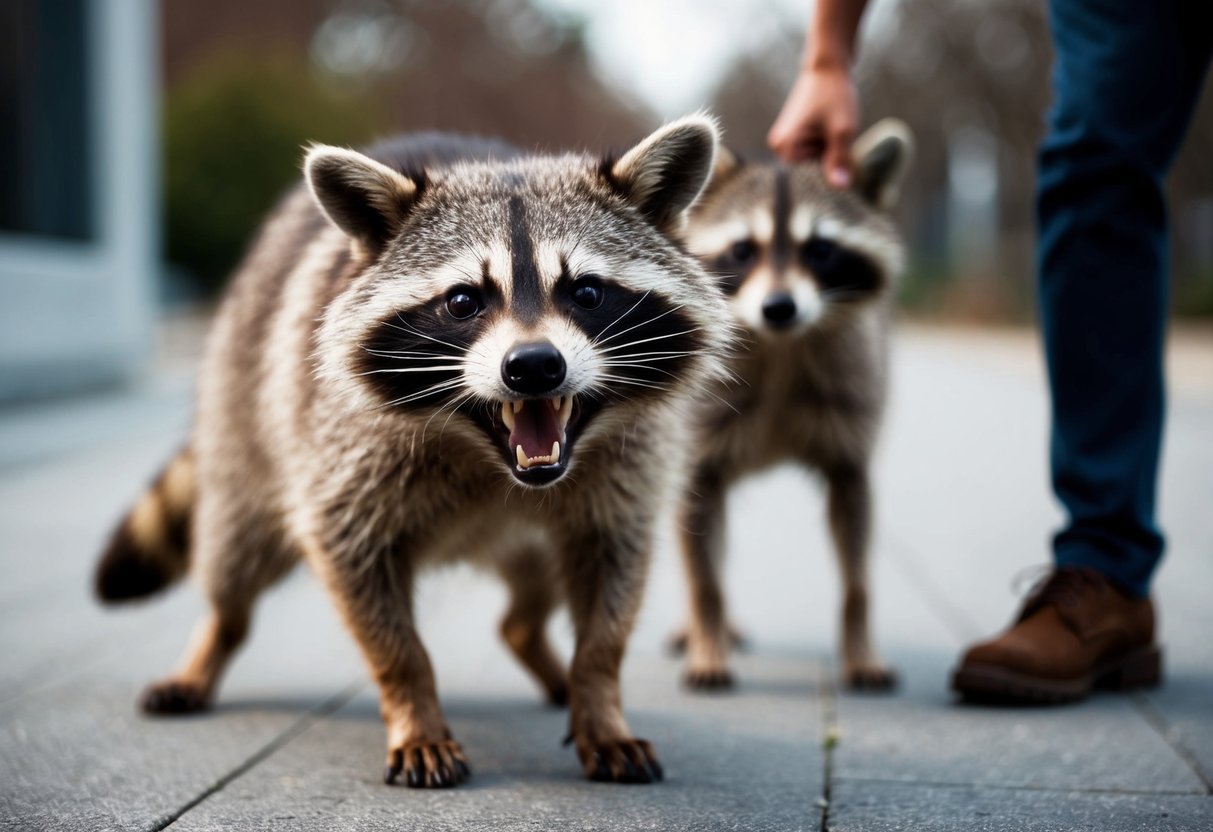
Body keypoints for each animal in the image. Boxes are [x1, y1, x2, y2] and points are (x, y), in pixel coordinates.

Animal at [93, 117, 732, 787]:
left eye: (586, 292)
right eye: (463, 301)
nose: (534, 366)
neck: (488, 458)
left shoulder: (628, 474)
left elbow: (613, 581)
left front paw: (600, 699)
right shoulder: (338, 453)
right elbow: (366, 588)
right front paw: (414, 708)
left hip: (531, 539)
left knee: (530, 602)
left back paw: (542, 653)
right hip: (243, 425)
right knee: (236, 561)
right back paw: (211, 640)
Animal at [673, 120, 912, 691]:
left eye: (820, 249)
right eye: (743, 250)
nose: (778, 307)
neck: (780, 346)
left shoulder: (850, 426)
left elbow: (857, 562)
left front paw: (859, 641)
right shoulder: (701, 437)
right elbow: (701, 560)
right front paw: (707, 630)